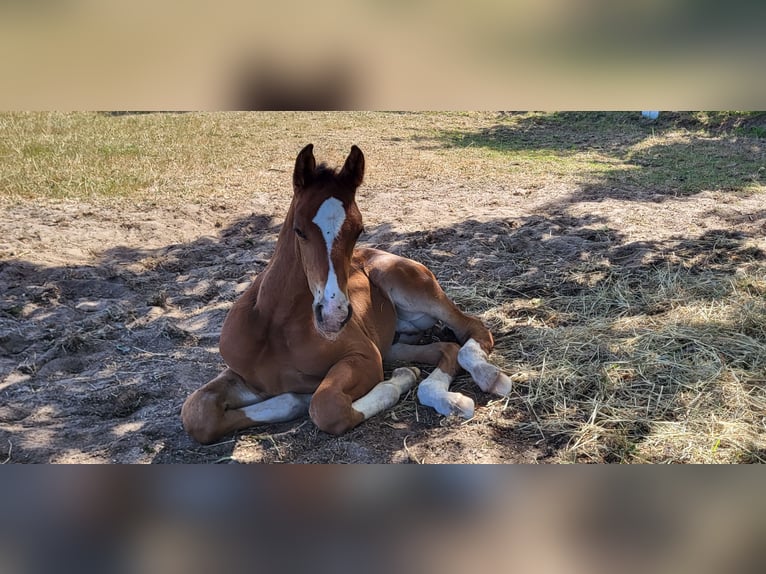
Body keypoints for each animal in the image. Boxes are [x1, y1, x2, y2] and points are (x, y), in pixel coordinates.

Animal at [181, 144, 512, 444]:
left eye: (359, 229)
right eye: (299, 229)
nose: (333, 315)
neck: (275, 326)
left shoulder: (365, 356)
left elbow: (327, 407)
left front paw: (397, 380)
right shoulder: (245, 376)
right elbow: (198, 414)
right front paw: (295, 399)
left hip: (409, 287)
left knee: (472, 328)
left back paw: (487, 377)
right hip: (392, 345)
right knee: (447, 348)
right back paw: (447, 397)